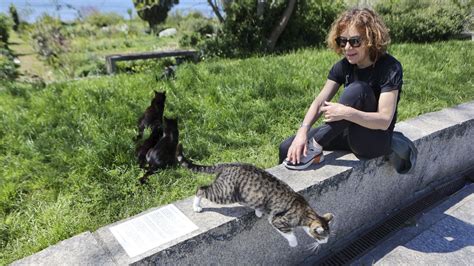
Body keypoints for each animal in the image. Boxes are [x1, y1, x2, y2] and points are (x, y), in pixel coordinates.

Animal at [176, 143, 336, 247]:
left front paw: (258, 212)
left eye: (328, 237)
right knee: (201, 189)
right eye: (322, 236)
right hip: (225, 193)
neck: (304, 212)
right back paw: (196, 206)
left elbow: (260, 206)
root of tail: (226, 165)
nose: (326, 242)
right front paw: (293, 242)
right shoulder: (278, 220)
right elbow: (288, 232)